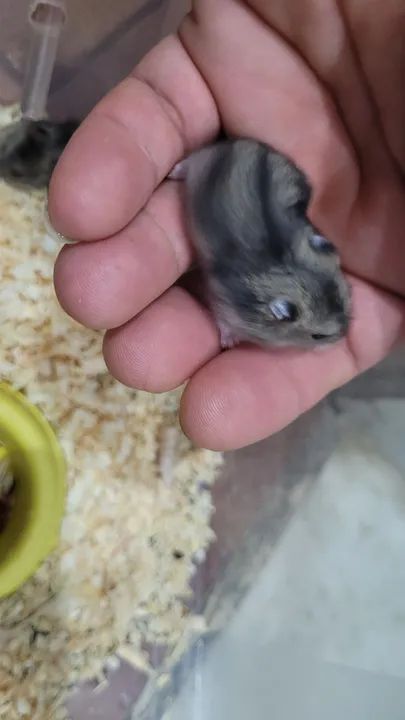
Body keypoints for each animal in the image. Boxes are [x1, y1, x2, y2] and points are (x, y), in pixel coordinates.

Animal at [169, 138, 351, 349]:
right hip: (204, 158)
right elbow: (223, 321)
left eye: (348, 302)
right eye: (318, 336)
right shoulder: (222, 301)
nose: (344, 336)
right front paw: (229, 342)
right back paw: (174, 172)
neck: (287, 269)